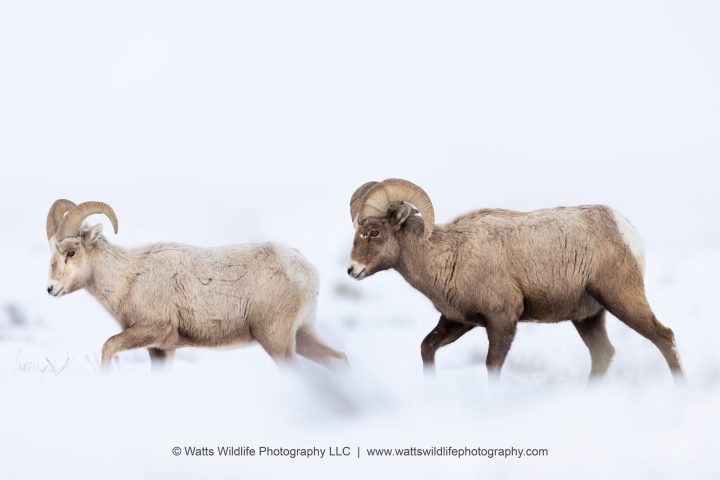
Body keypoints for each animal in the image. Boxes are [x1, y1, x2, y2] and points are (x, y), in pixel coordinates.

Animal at [45, 199, 347, 369]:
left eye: (71, 252)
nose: (50, 289)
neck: (128, 277)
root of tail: (307, 269)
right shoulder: (161, 349)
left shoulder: (150, 329)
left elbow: (108, 347)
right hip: (302, 334)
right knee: (339, 360)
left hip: (277, 340)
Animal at [346, 178, 684, 382]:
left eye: (374, 232)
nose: (352, 270)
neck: (449, 253)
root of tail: (626, 228)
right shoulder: (458, 321)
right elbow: (426, 348)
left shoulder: (502, 320)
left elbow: (492, 366)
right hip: (588, 317)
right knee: (603, 355)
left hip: (622, 298)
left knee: (664, 337)